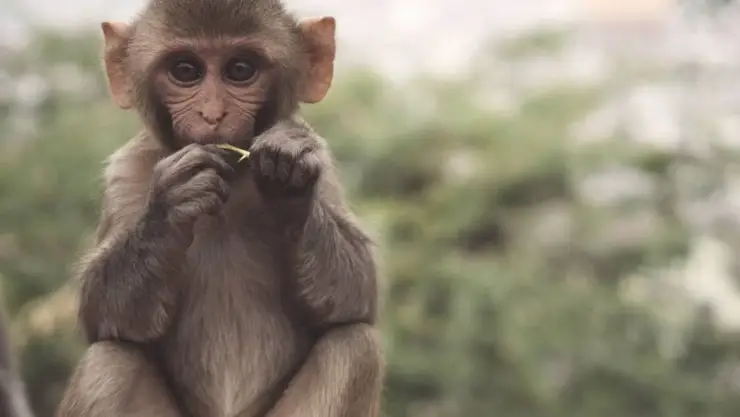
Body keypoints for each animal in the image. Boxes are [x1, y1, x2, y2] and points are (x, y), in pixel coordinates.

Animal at [54, 0, 384, 416]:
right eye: (185, 71)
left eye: (240, 69)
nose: (213, 115)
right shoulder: (127, 172)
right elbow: (103, 313)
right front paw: (170, 207)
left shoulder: (321, 158)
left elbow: (356, 294)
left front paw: (289, 180)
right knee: (111, 360)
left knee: (354, 346)